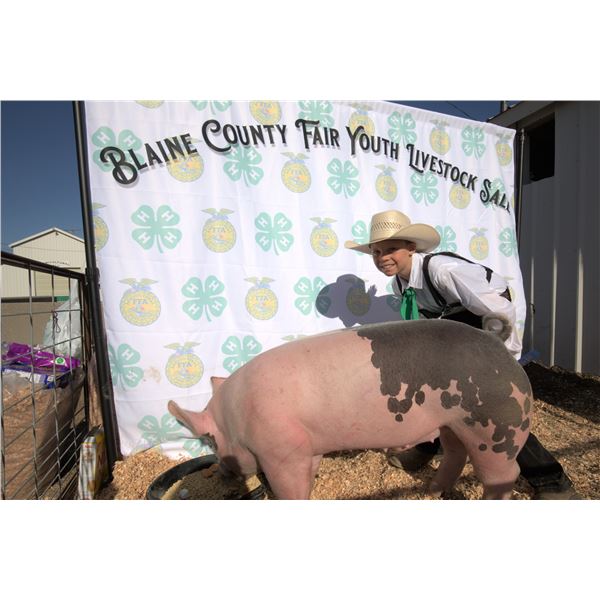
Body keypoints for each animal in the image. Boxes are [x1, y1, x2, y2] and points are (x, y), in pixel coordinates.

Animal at [168, 318, 533, 499]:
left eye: (212, 441)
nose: (221, 472)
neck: (238, 418)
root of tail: (497, 343)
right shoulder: (307, 446)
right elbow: (310, 474)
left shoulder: (282, 450)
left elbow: (290, 490)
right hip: (454, 423)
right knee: (456, 453)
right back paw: (431, 490)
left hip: (497, 424)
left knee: (506, 474)